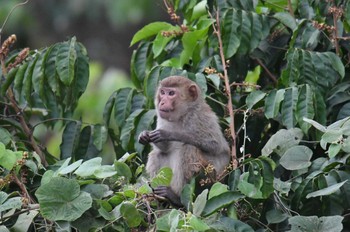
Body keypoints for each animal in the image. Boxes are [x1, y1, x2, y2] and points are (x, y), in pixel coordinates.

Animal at [138, 75, 231, 206]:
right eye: (162, 92)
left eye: (171, 93)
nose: (162, 102)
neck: (182, 115)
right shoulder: (162, 117)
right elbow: (164, 148)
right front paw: (145, 135)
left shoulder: (200, 116)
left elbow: (215, 145)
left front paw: (169, 134)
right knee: (157, 154)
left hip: (210, 178)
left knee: (189, 148)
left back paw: (175, 198)